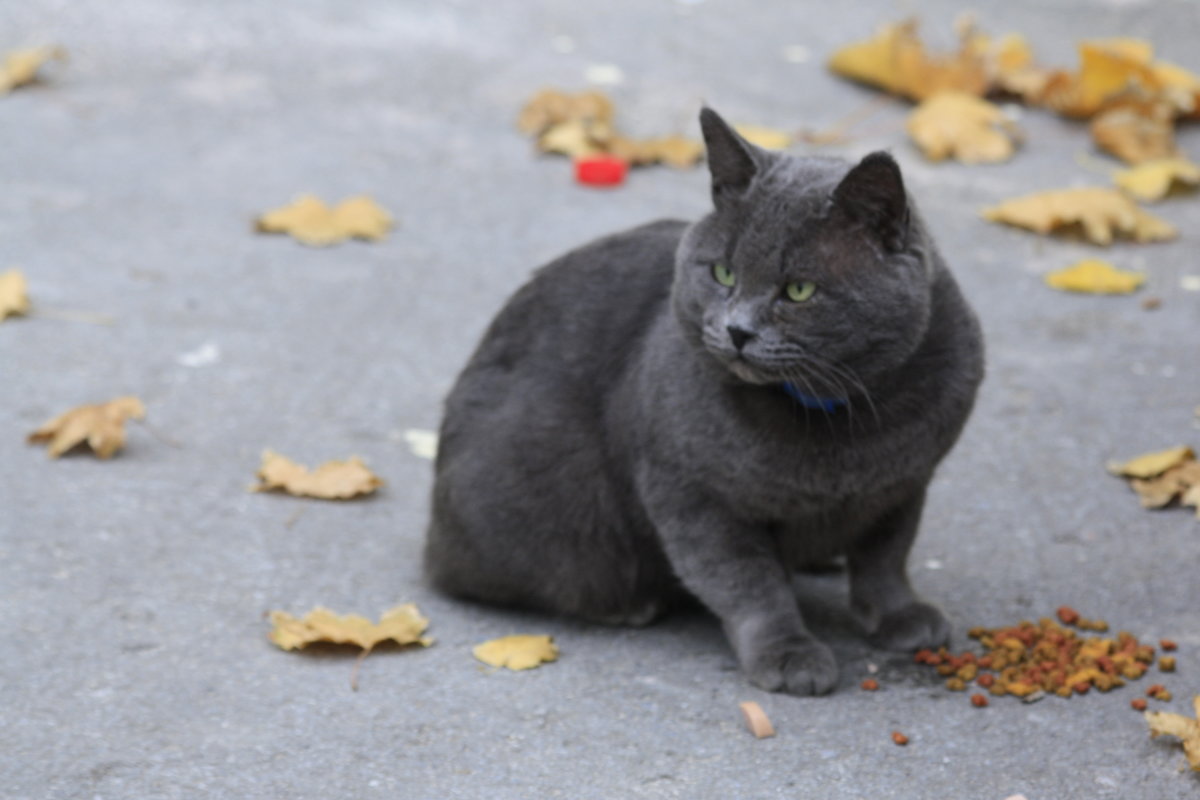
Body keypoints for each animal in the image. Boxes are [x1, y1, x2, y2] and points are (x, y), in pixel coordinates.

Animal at [427, 106, 979, 695]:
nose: (737, 331)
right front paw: (789, 655)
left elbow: (886, 558)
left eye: (798, 290)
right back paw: (629, 606)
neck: (837, 422)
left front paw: (903, 617)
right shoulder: (691, 493)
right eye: (723, 272)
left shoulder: (905, 483)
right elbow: (749, 584)